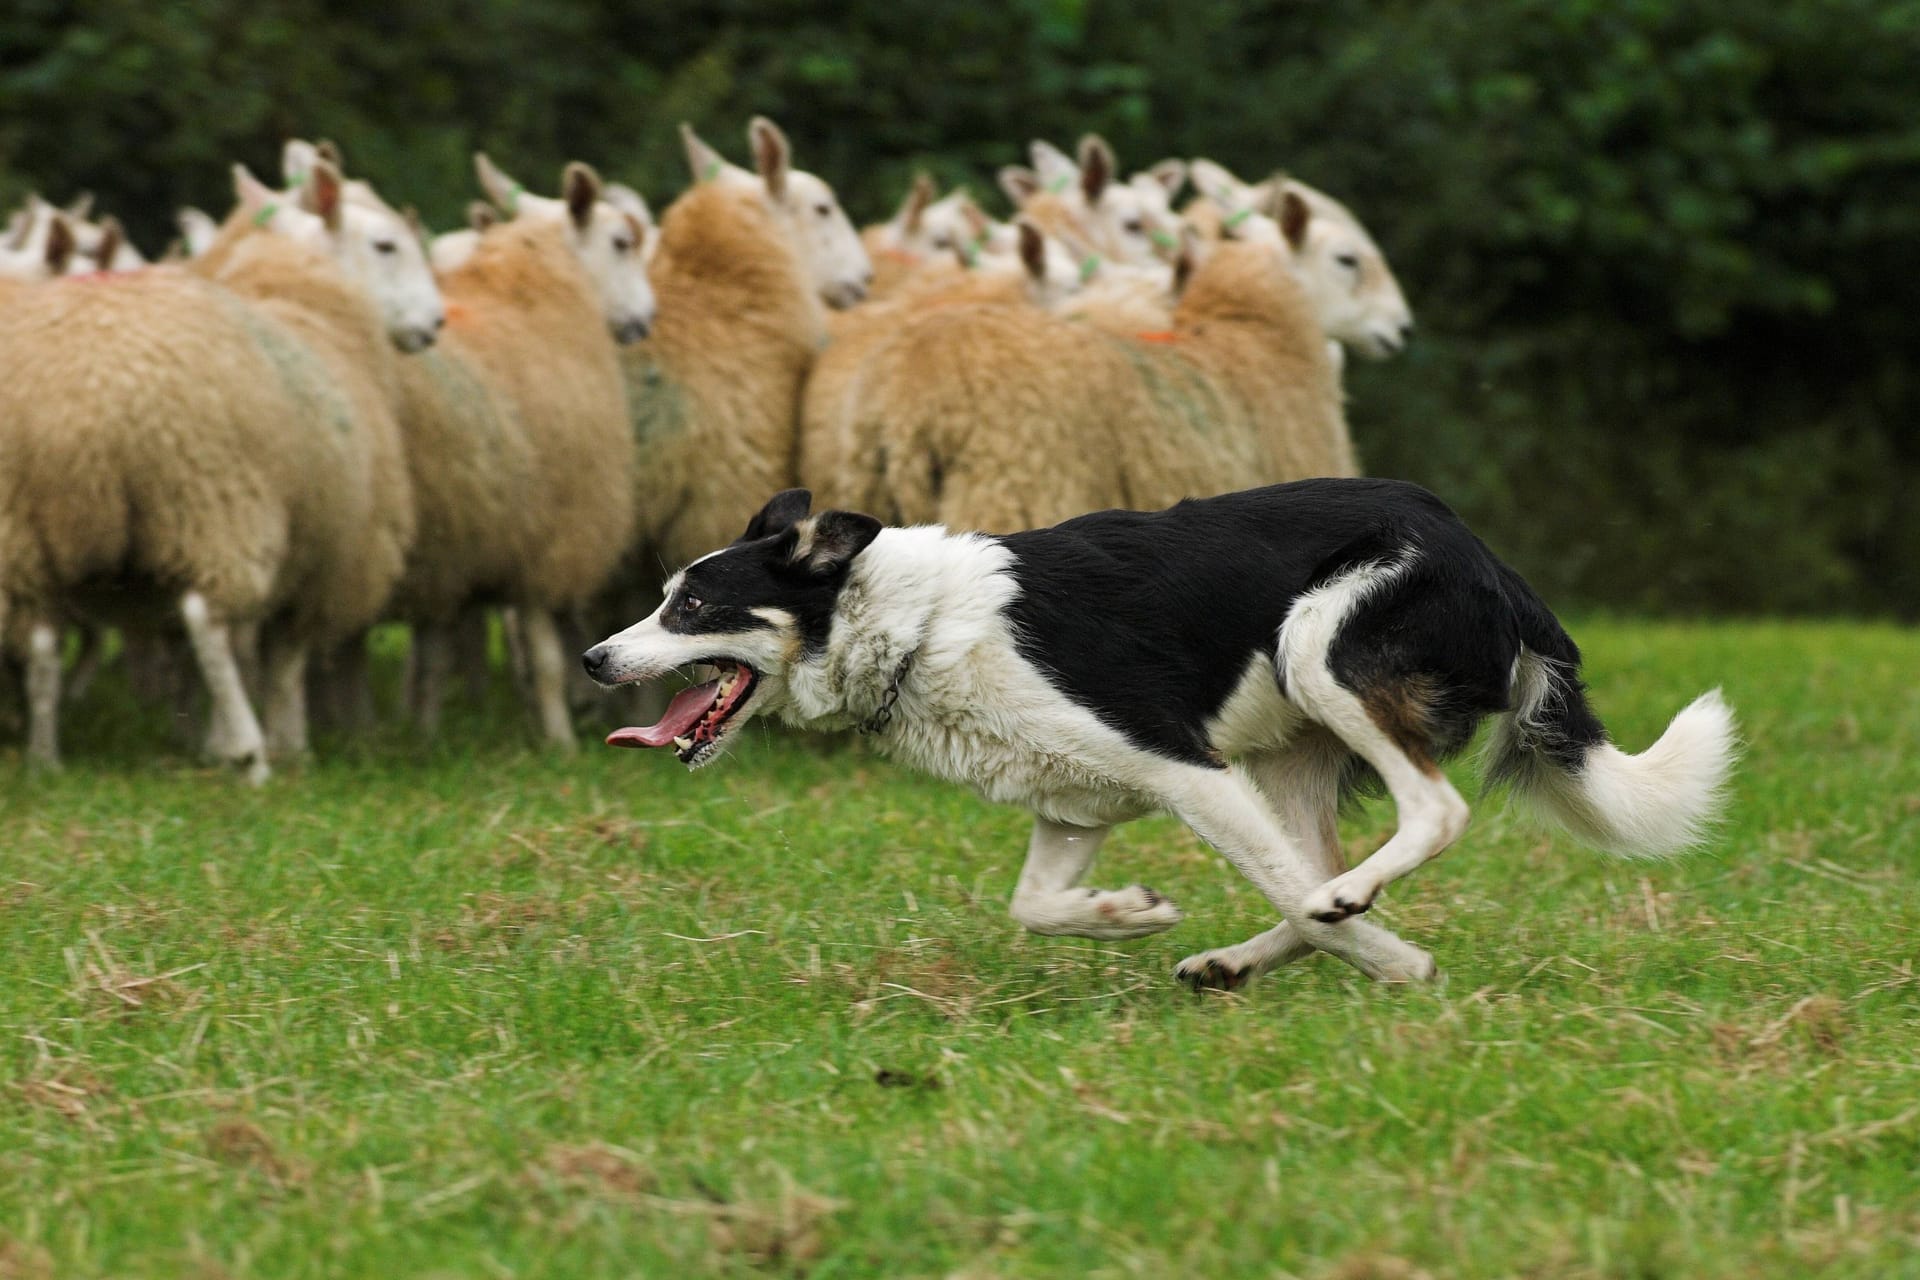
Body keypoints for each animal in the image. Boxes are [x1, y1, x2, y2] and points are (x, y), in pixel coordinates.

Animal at [576, 483, 1735, 990]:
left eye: (690, 606)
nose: (593, 658)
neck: (913, 624)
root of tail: (1493, 561)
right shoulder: (1074, 802)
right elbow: (1035, 904)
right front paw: (1128, 912)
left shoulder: (1188, 769)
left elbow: (1290, 888)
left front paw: (1401, 965)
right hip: (1293, 744)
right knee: (1318, 869)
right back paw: (1234, 960)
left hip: (1319, 653)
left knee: (1418, 821)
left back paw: (1350, 914)